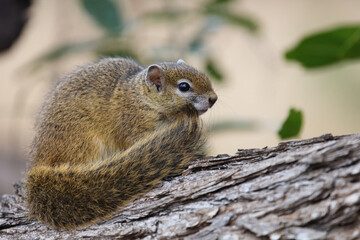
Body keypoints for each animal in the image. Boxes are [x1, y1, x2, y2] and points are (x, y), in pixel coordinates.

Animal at [26, 57, 217, 230]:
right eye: (184, 87)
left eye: (202, 74)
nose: (213, 99)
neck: (142, 98)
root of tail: (40, 160)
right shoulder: (134, 125)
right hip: (84, 144)